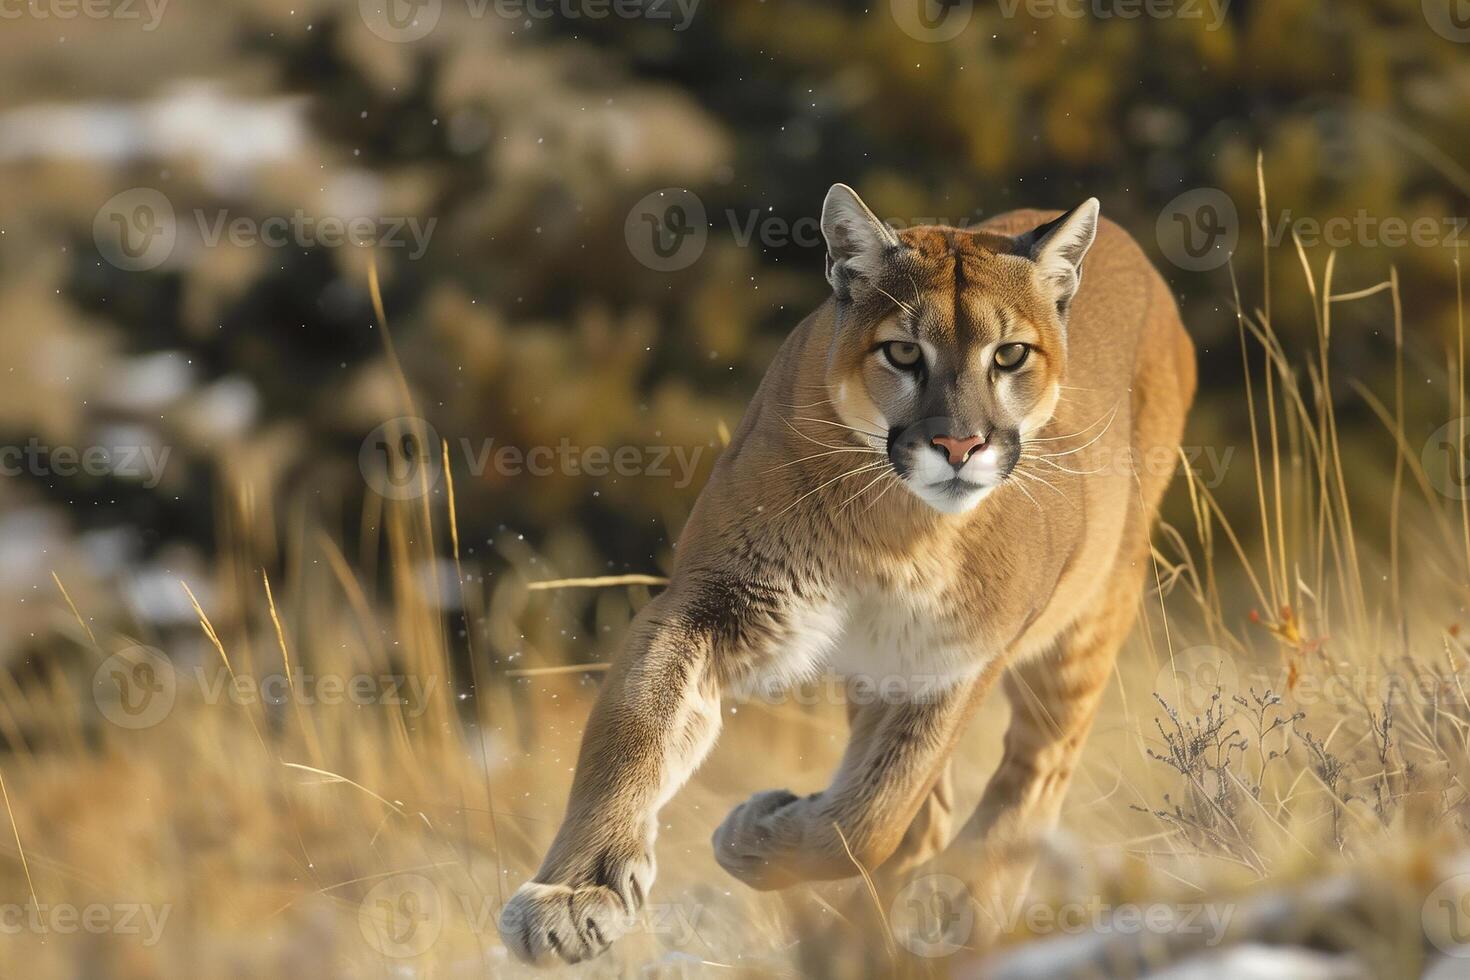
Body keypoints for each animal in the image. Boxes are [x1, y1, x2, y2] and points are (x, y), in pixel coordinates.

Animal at [499, 183, 1187, 963]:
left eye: (1010, 354)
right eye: (902, 351)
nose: (959, 444)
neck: (896, 533)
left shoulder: (963, 655)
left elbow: (875, 812)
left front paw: (758, 837)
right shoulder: (716, 600)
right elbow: (635, 728)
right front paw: (574, 897)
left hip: (1090, 617)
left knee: (1035, 771)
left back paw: (959, 909)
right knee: (930, 812)